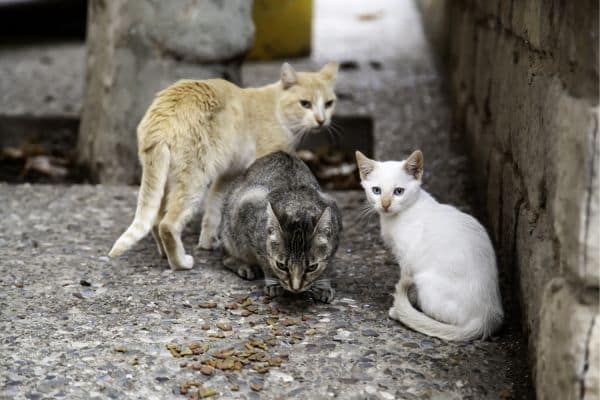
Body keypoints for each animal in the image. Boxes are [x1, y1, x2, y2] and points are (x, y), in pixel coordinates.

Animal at [108, 62, 338, 270]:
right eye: (305, 104)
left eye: (329, 103)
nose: (321, 120)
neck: (277, 108)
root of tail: (161, 119)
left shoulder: (228, 174)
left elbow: (215, 206)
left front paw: (207, 242)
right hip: (193, 181)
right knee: (167, 225)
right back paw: (180, 263)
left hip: (168, 179)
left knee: (156, 220)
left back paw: (164, 254)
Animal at [220, 152, 342, 302]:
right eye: (281, 265)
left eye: (312, 267)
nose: (296, 288)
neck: (297, 206)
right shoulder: (249, 214)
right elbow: (265, 261)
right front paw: (273, 283)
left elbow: (327, 264)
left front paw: (323, 285)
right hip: (231, 233)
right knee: (226, 257)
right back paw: (245, 266)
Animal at [356, 150, 502, 340]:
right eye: (376, 190)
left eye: (398, 191)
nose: (385, 204)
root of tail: (486, 316)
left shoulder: (407, 260)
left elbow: (406, 282)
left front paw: (399, 308)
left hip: (425, 283)